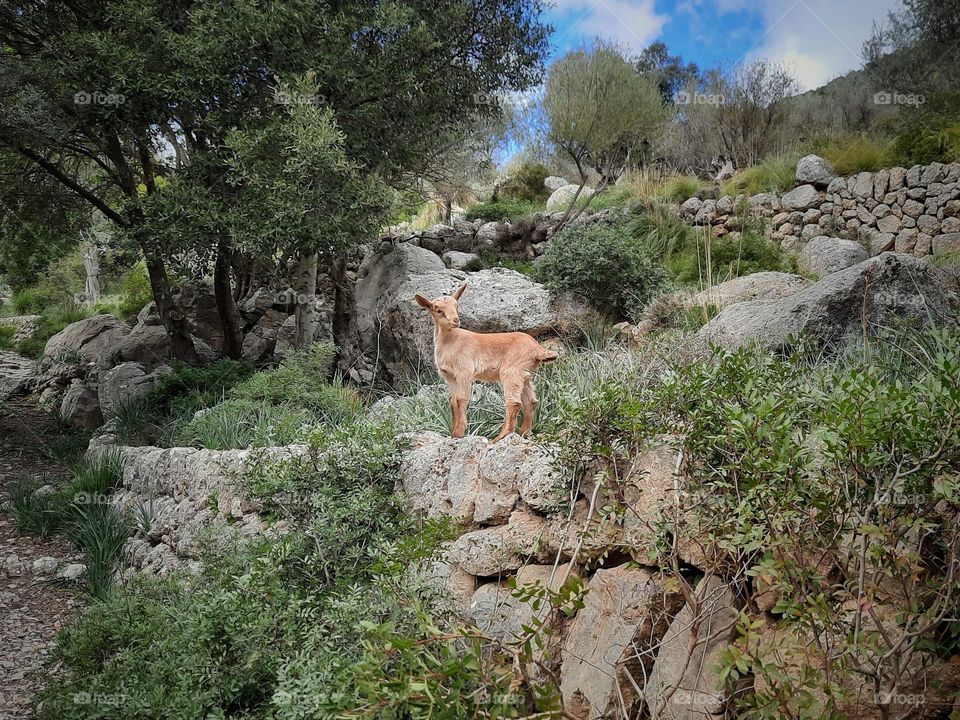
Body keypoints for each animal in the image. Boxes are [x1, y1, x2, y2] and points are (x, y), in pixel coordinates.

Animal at [412, 282, 556, 442]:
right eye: (438, 310)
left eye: (457, 306)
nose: (456, 320)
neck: (452, 341)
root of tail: (537, 349)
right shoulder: (450, 377)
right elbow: (453, 402)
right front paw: (453, 434)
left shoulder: (464, 372)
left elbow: (461, 399)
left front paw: (460, 433)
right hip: (524, 375)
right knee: (530, 401)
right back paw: (523, 433)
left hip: (511, 371)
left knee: (514, 402)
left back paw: (500, 437)